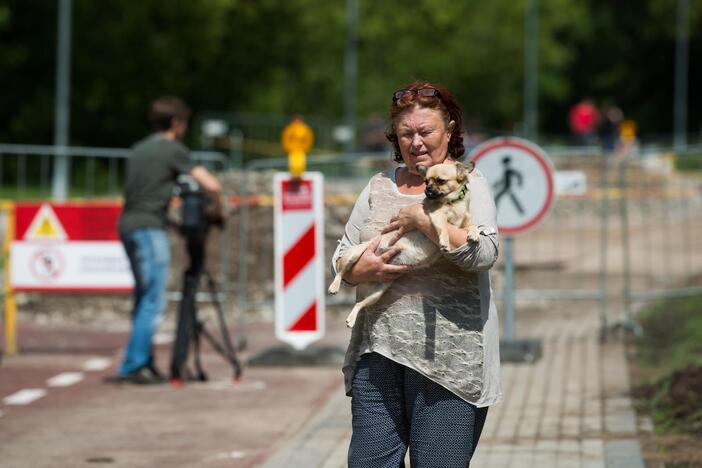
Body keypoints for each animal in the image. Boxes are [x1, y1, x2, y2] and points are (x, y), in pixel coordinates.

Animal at [332, 163, 484, 328]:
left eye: (440, 181)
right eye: (426, 181)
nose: (427, 190)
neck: (453, 202)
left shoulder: (464, 221)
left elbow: (473, 225)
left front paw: (474, 234)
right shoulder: (436, 215)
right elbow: (443, 226)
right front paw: (444, 241)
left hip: (377, 293)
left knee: (359, 304)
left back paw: (351, 319)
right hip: (352, 255)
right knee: (340, 272)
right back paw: (333, 287)